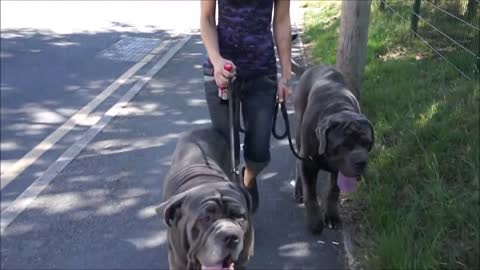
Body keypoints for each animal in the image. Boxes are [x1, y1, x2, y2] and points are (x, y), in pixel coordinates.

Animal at [290, 65, 376, 234]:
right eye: (344, 145)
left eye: (367, 143)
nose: (361, 162)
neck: (338, 108)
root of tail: (313, 67)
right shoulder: (308, 164)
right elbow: (310, 194)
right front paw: (315, 222)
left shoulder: (339, 170)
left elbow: (334, 190)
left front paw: (332, 217)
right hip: (299, 128)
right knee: (297, 162)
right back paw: (298, 189)